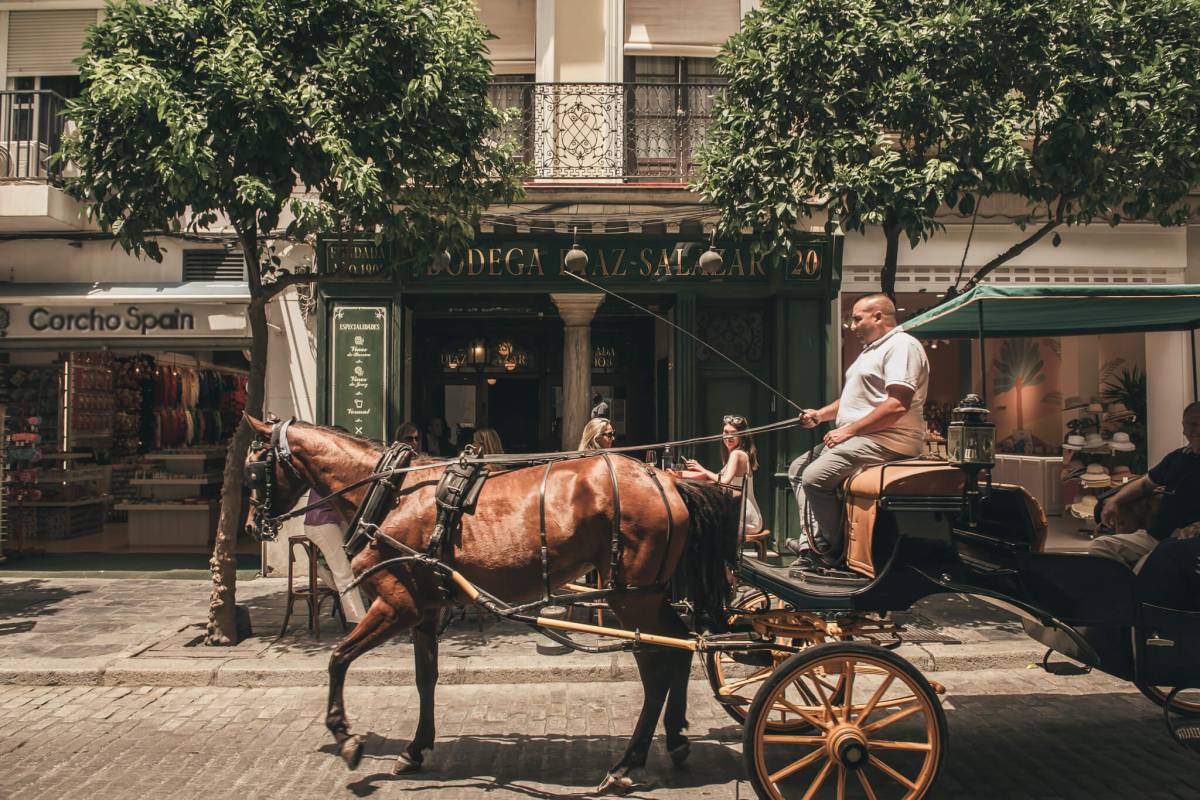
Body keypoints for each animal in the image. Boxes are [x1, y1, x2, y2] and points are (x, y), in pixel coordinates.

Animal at [241, 417, 739, 791]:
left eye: (253, 467)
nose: (249, 525)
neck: (392, 493)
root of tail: (666, 479)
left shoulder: (399, 603)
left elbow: (339, 657)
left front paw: (345, 737)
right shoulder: (427, 608)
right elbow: (425, 679)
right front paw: (415, 748)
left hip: (630, 596)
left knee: (657, 663)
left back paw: (627, 764)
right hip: (645, 594)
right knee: (679, 648)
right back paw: (674, 740)